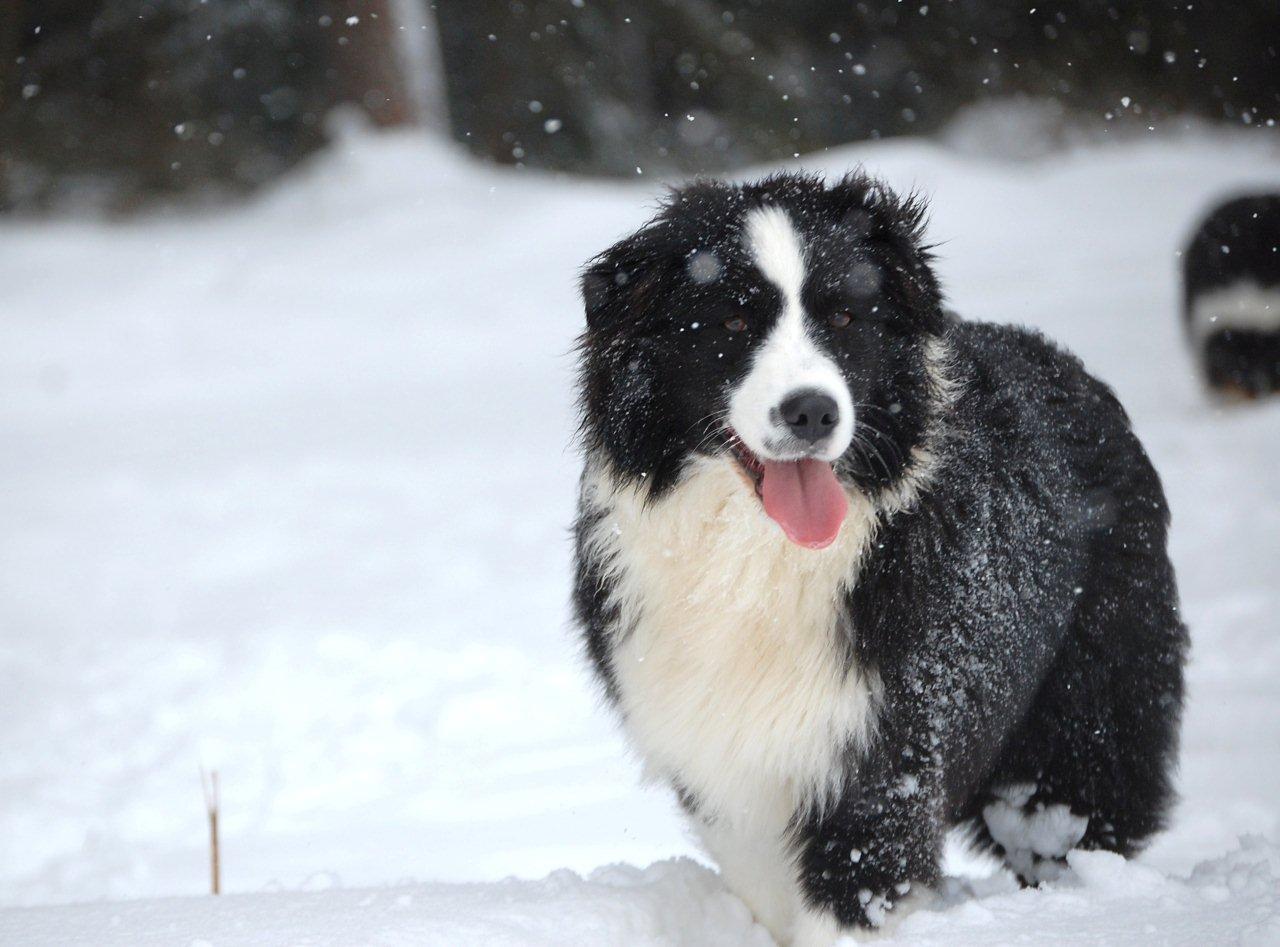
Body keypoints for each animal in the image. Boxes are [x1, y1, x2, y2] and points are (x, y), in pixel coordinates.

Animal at [576, 171, 1182, 947]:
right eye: (733, 326)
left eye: (842, 317)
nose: (811, 411)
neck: (758, 557)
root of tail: (1071, 366)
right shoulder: (724, 758)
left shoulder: (886, 749)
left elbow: (852, 889)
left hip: (1088, 704)